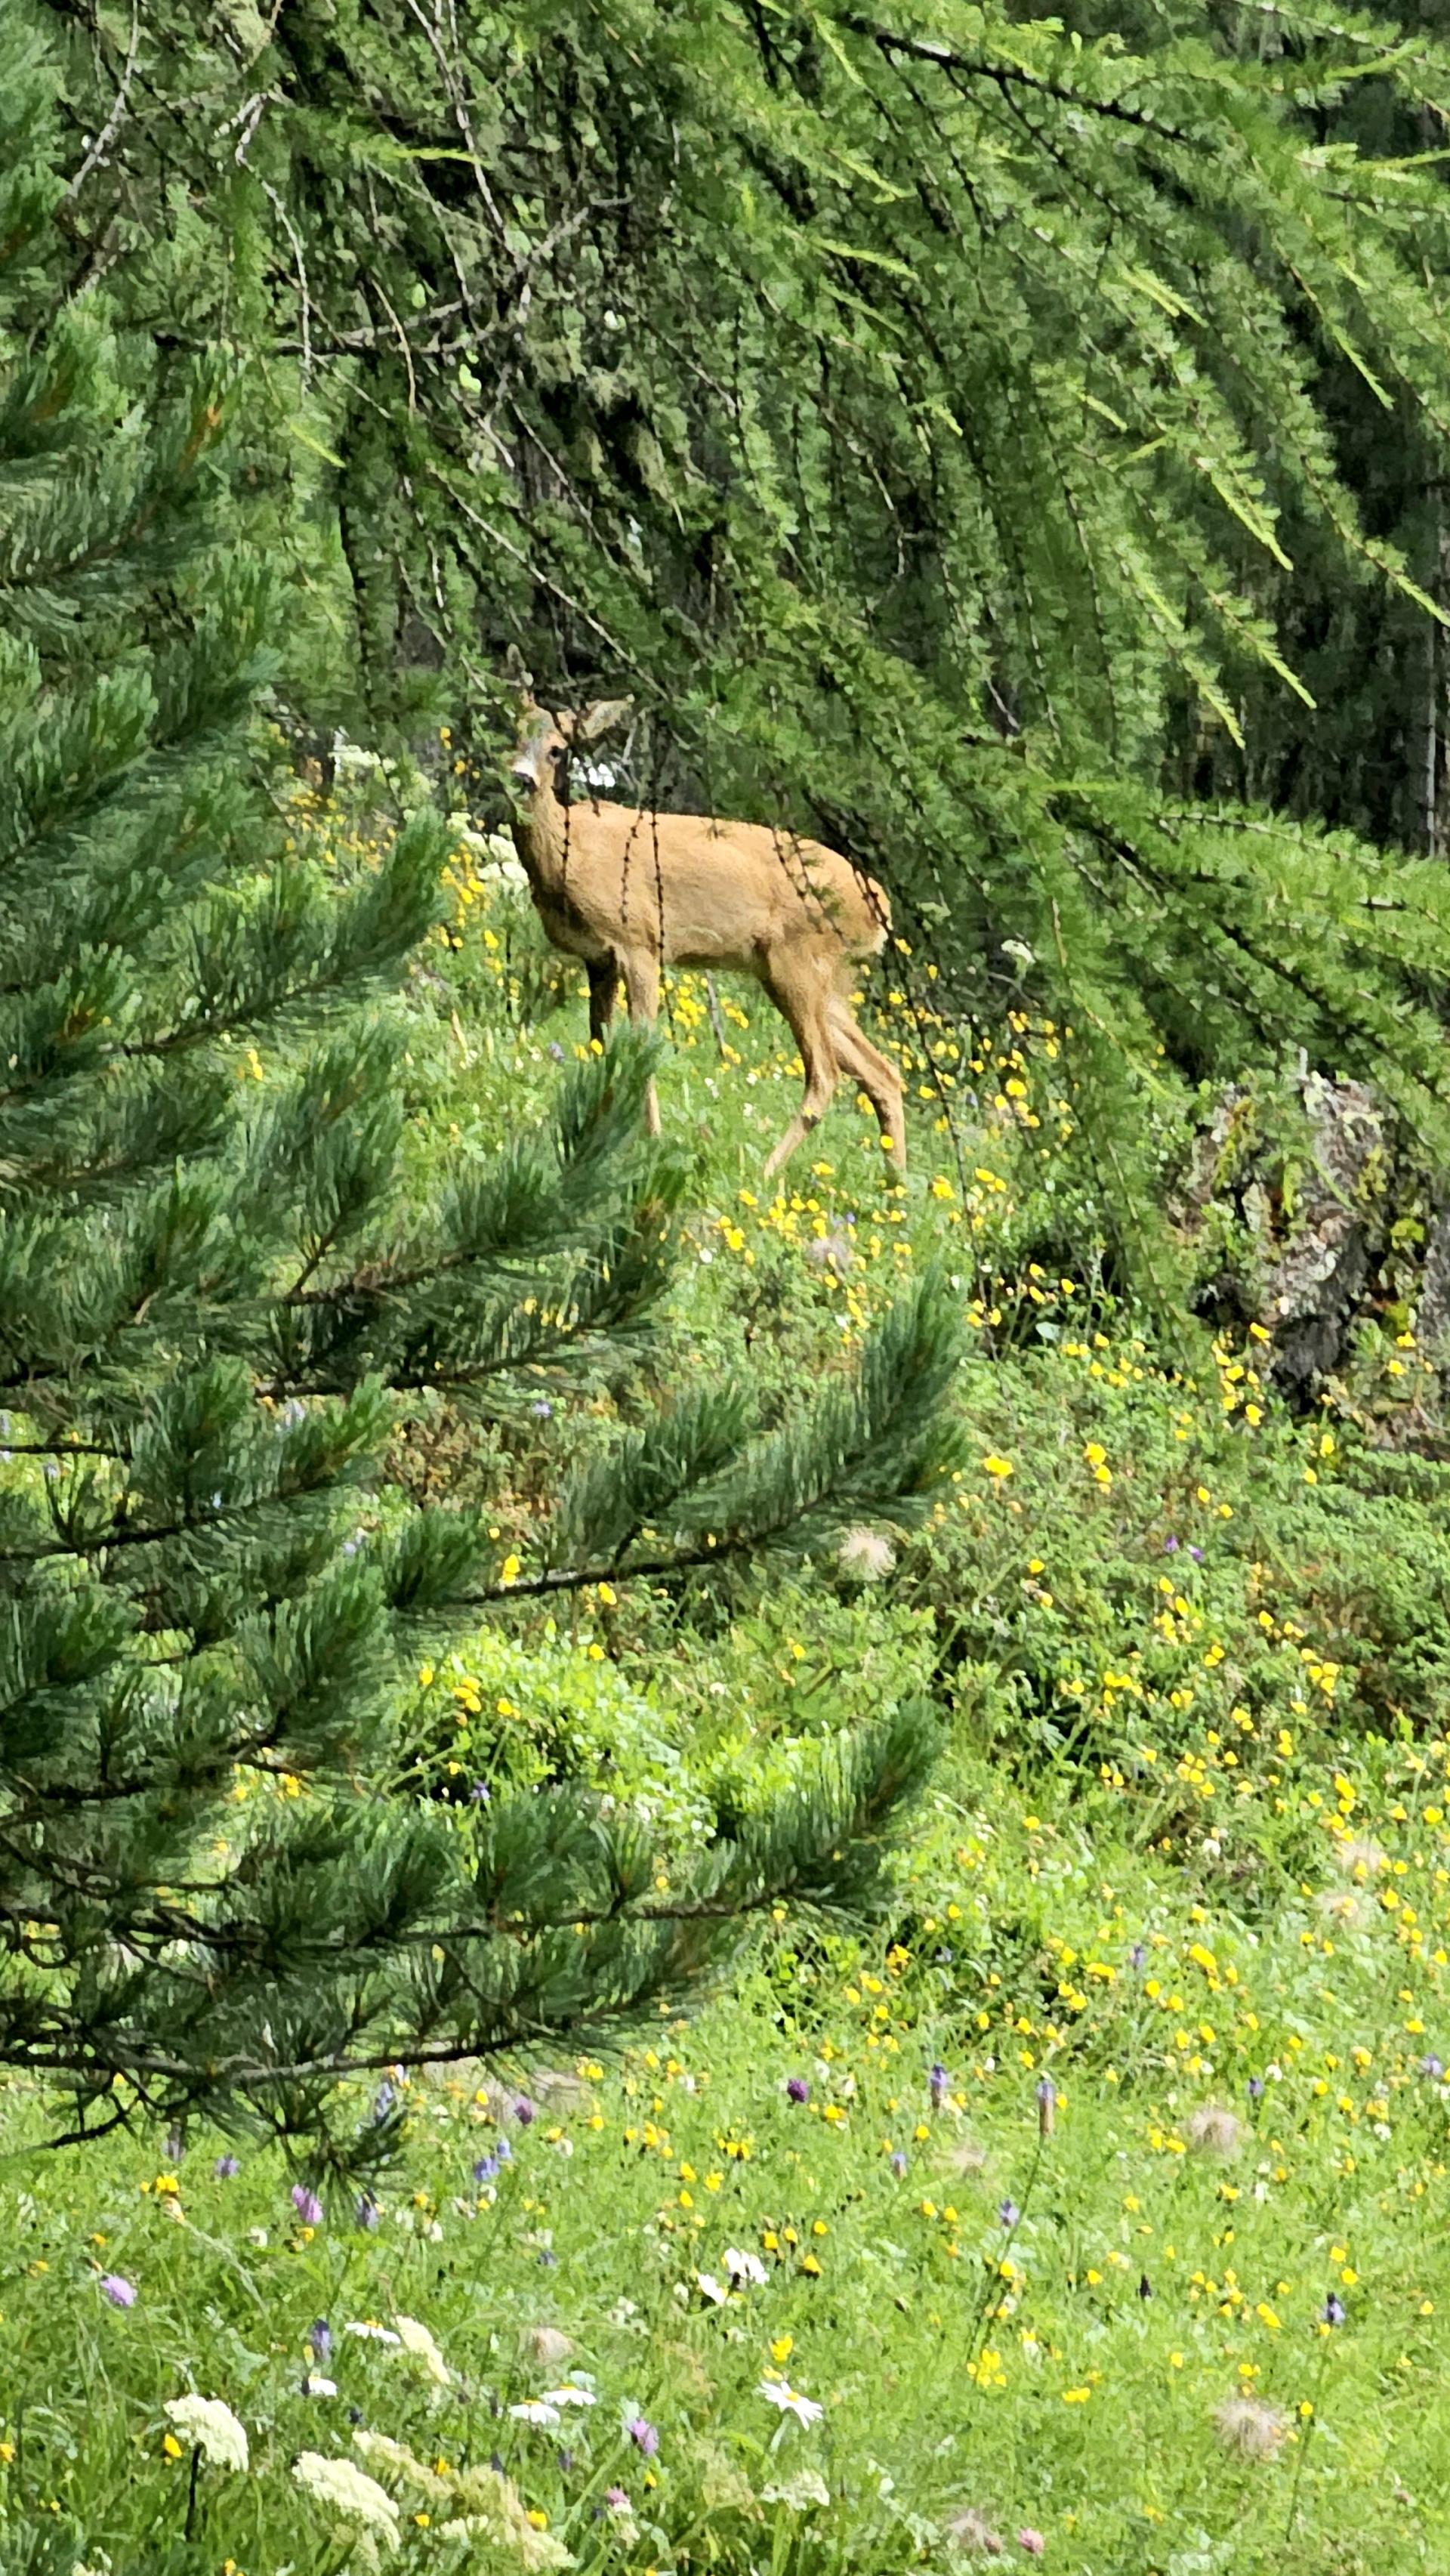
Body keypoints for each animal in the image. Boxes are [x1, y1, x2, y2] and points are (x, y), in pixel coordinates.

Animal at [504, 675, 901, 1179]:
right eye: (514, 730)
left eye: (558, 749)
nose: (521, 777)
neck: (568, 854)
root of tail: (879, 906)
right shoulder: (597, 959)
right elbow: (599, 1045)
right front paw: (596, 1129)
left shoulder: (640, 942)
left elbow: (641, 1050)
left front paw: (650, 1141)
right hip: (821, 980)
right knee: (883, 1073)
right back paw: (897, 1187)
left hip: (794, 962)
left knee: (826, 1074)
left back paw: (763, 1174)